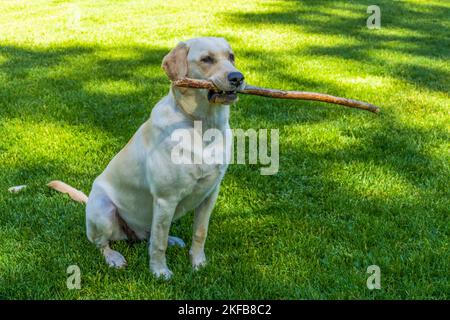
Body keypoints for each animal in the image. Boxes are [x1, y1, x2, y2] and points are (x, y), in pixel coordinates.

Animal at [48, 36, 246, 278]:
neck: (203, 126)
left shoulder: (210, 193)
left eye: (231, 56)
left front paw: (198, 263)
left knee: (152, 234)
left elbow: (200, 232)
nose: (237, 77)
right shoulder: (166, 199)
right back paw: (114, 257)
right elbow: (159, 244)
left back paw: (173, 239)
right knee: (102, 243)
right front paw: (160, 272)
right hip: (104, 210)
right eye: (206, 59)